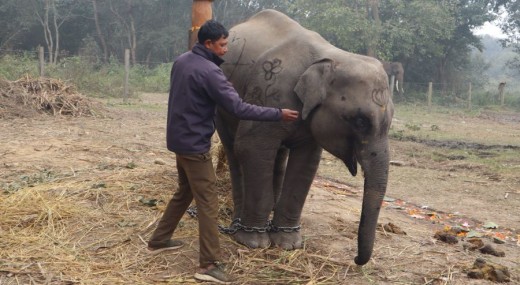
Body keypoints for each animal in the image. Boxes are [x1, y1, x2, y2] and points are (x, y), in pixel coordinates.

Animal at [216, 10, 394, 266]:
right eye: (360, 121)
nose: (356, 259)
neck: (331, 55)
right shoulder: (267, 91)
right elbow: (251, 148)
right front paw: (255, 243)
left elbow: (306, 162)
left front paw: (288, 244)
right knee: (234, 150)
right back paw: (239, 224)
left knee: (277, 156)